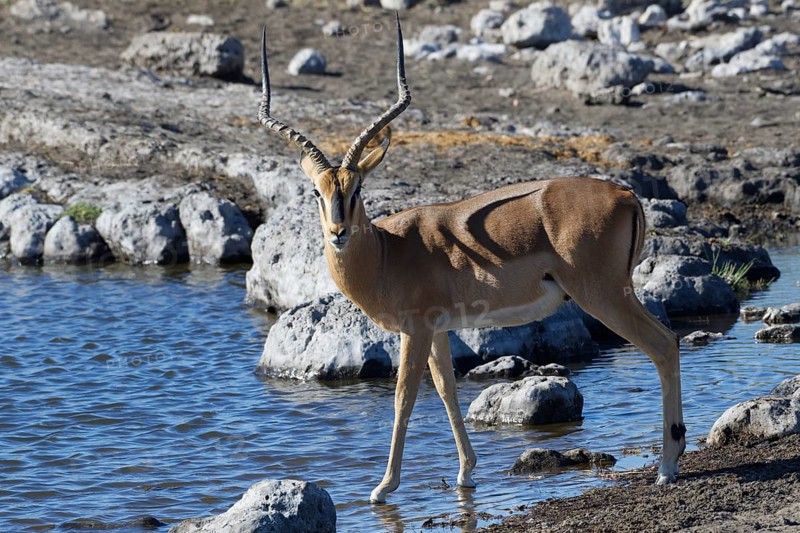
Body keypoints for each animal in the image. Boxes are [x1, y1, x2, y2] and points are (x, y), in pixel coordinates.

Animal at [258, 14, 685, 503]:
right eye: (317, 191)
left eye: (358, 189)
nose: (337, 233)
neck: (387, 252)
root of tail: (627, 195)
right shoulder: (439, 331)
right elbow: (447, 389)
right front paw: (465, 473)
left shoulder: (415, 329)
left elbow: (404, 397)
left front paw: (383, 487)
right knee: (669, 342)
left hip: (603, 295)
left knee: (663, 344)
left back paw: (667, 467)